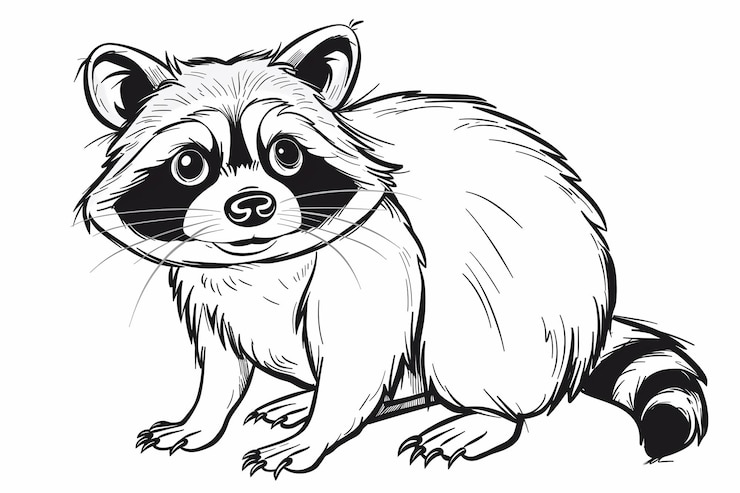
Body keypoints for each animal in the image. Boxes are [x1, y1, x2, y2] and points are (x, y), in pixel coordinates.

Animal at [76, 24, 707, 476]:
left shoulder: (377, 257)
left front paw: (319, 433)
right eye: (189, 166)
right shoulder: (206, 282)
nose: (252, 205)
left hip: (517, 321)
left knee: (461, 343)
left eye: (286, 155)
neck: (261, 260)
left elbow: (360, 355)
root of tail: (587, 332)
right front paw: (205, 417)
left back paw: (483, 416)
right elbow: (220, 359)